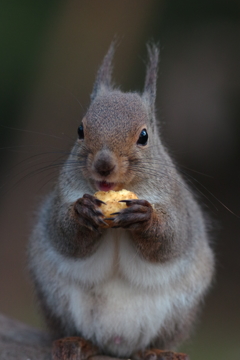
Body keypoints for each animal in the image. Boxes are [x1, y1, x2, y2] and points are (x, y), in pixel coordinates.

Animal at [28, 43, 214, 360]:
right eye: (80, 130)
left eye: (144, 136)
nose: (104, 165)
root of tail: (117, 343)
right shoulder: (61, 198)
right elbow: (64, 236)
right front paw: (82, 212)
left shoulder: (178, 204)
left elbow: (172, 240)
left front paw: (145, 218)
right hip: (56, 298)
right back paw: (77, 342)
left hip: (178, 312)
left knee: (157, 339)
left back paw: (158, 351)